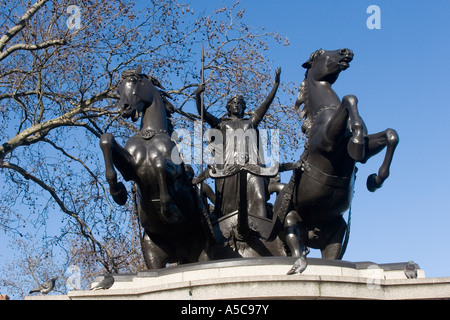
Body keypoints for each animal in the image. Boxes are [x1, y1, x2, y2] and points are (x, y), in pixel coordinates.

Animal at [99, 66, 212, 268]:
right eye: (118, 90)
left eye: (134, 81)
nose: (124, 109)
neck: (150, 136)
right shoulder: (131, 169)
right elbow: (106, 140)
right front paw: (118, 192)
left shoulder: (176, 174)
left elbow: (159, 164)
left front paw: (169, 210)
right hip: (153, 253)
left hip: (203, 253)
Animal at [276, 48, 400, 268]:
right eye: (320, 53)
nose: (346, 52)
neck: (325, 111)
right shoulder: (329, 143)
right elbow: (349, 98)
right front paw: (357, 139)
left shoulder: (365, 150)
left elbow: (390, 135)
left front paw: (375, 180)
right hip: (290, 219)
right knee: (295, 244)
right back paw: (298, 265)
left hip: (337, 232)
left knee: (330, 253)